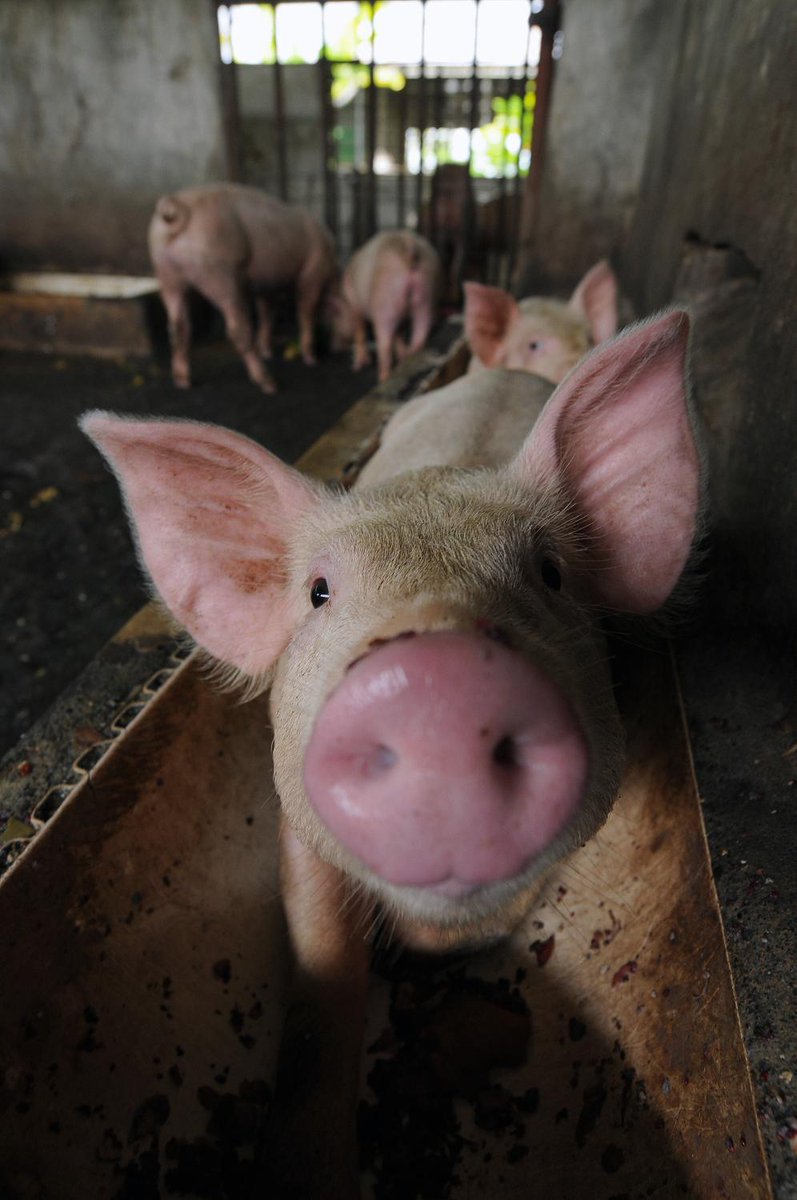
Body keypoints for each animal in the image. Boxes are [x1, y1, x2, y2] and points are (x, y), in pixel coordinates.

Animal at [148, 182, 338, 394]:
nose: (336, 346)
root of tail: (176, 207)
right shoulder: (313, 271)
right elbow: (306, 311)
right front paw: (311, 360)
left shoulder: (266, 283)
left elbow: (267, 311)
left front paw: (267, 351)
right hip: (219, 270)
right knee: (237, 328)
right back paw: (269, 384)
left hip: (165, 270)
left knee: (177, 326)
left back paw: (183, 382)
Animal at [330, 230, 441, 383]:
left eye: (335, 319)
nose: (334, 347)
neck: (345, 297)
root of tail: (408, 246)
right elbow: (399, 334)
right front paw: (401, 352)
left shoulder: (355, 304)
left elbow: (360, 331)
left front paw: (357, 366)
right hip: (427, 290)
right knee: (421, 330)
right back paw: (408, 356)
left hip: (385, 298)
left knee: (385, 344)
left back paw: (383, 377)